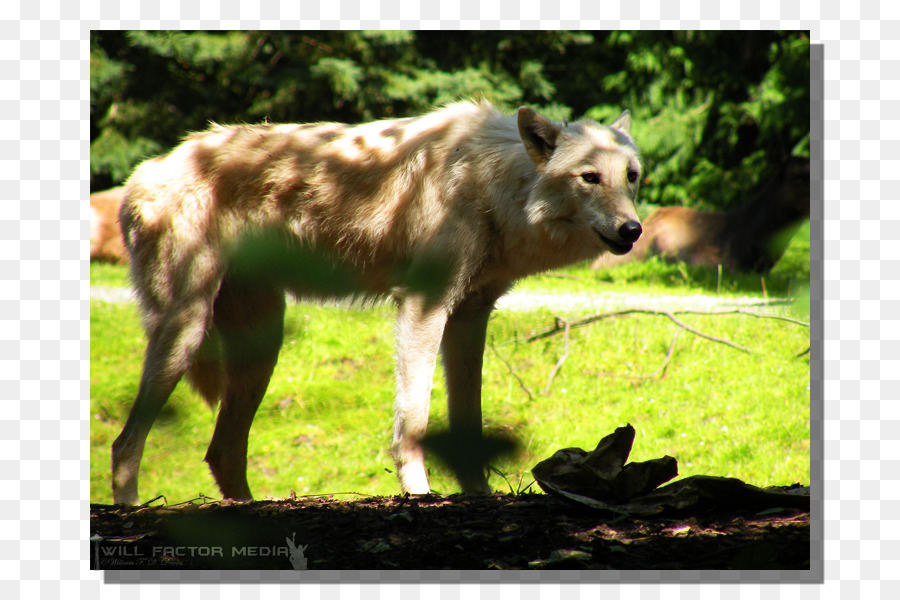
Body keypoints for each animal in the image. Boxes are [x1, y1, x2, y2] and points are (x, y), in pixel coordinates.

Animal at [110, 101, 640, 504]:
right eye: (590, 177)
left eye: (632, 176)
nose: (632, 230)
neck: (488, 183)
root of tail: (142, 173)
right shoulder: (423, 306)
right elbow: (414, 422)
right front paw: (420, 495)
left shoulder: (470, 317)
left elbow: (469, 420)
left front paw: (478, 495)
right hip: (185, 332)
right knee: (124, 444)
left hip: (261, 347)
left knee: (221, 452)